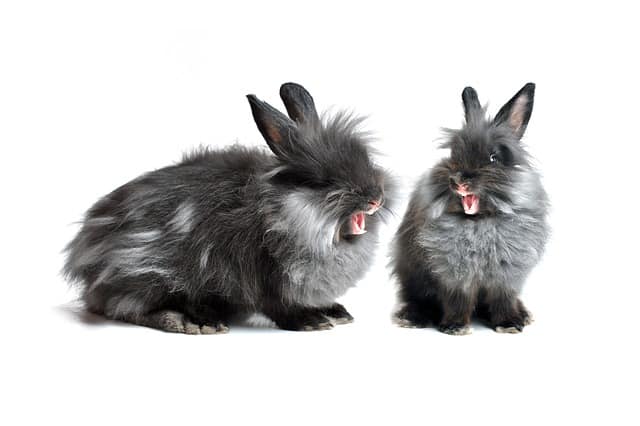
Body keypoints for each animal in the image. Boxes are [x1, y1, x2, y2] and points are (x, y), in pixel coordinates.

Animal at [63, 82, 394, 334]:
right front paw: (311, 322)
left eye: (365, 160)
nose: (376, 198)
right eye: (323, 180)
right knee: (125, 307)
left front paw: (336, 312)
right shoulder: (262, 274)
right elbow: (279, 305)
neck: (281, 211)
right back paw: (194, 322)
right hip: (142, 271)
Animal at [392, 83, 549, 335]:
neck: (479, 223)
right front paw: (455, 327)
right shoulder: (453, 275)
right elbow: (457, 300)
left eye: (493, 158)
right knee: (418, 300)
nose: (458, 180)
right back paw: (412, 318)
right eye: (454, 154)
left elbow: (503, 299)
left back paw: (523, 315)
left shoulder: (505, 276)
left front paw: (509, 324)